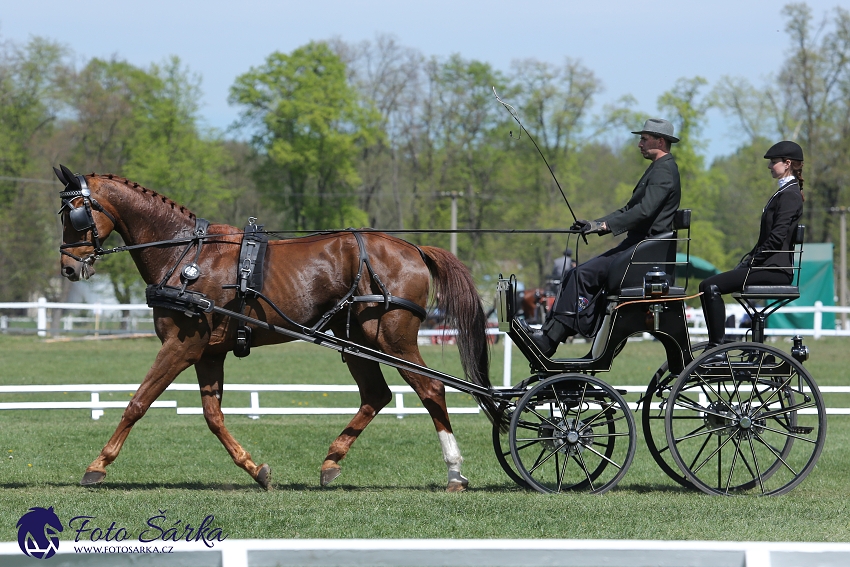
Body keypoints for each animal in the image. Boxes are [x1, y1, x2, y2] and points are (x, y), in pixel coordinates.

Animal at [56, 166, 496, 490]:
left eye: (76, 213)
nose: (68, 268)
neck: (185, 254)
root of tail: (413, 248)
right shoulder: (208, 353)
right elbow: (213, 417)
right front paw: (256, 470)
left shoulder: (181, 345)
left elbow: (138, 402)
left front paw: (98, 465)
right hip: (354, 339)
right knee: (377, 394)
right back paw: (331, 461)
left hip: (391, 338)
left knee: (431, 389)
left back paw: (454, 471)